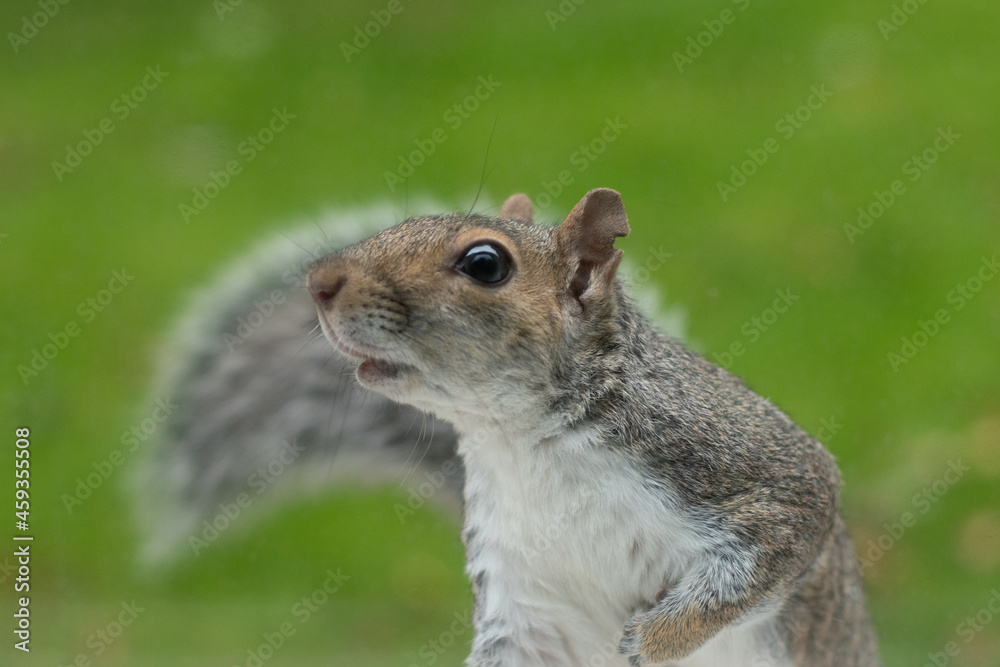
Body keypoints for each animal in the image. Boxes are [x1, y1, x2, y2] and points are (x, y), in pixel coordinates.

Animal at [138, 190, 881, 666]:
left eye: (484, 263)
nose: (318, 282)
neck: (522, 441)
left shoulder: (746, 463)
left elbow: (767, 552)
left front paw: (652, 640)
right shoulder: (523, 593)